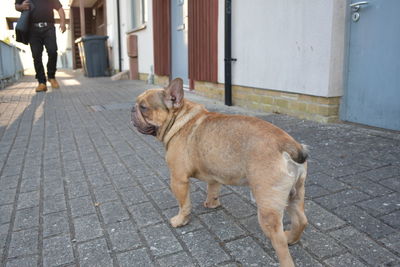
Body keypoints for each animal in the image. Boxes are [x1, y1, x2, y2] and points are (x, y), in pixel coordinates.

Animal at [131, 78, 310, 266]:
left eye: (143, 107)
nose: (132, 108)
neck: (180, 119)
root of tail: (290, 145)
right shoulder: (214, 175)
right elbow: (213, 189)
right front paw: (212, 204)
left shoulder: (178, 179)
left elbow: (184, 204)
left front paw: (181, 220)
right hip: (295, 194)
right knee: (301, 220)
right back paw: (291, 238)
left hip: (267, 205)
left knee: (279, 241)